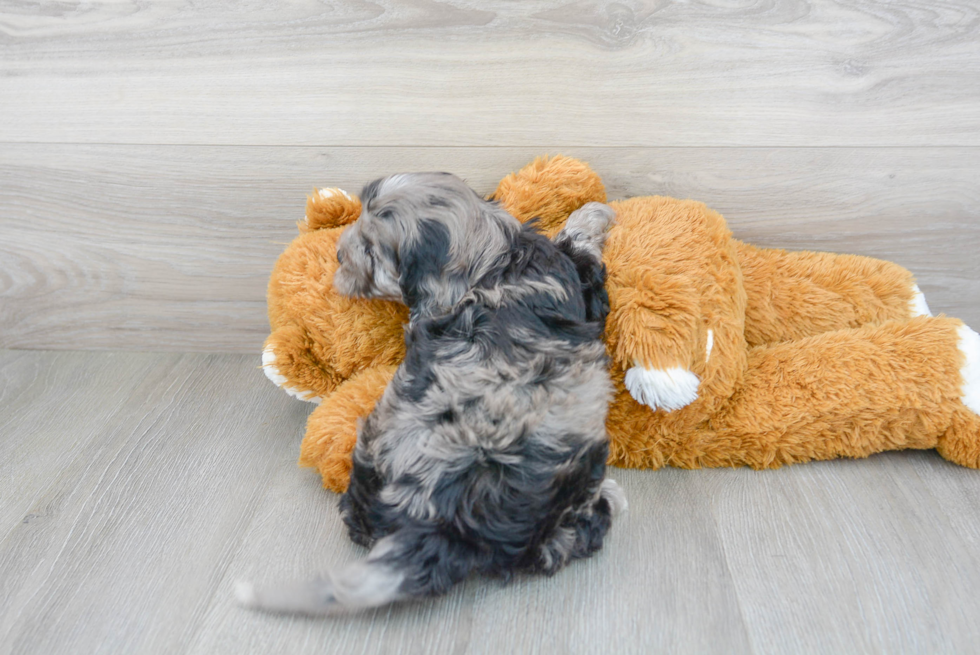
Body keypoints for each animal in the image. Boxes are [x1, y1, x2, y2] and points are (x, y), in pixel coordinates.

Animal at [241, 172, 632, 612]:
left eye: (371, 250)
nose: (340, 255)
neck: (495, 259)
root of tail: (431, 522)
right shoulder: (578, 277)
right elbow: (577, 240)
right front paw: (595, 212)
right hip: (570, 465)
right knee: (561, 540)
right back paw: (608, 500)